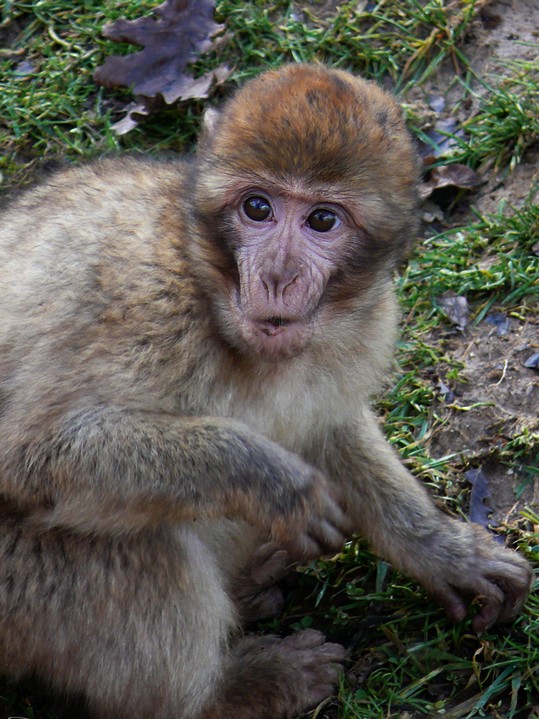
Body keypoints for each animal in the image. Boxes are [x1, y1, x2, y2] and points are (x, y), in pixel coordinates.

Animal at [0, 64, 532, 719]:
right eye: (257, 207)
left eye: (323, 220)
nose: (278, 275)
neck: (205, 282)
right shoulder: (135, 299)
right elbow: (32, 456)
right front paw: (273, 483)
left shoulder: (364, 324)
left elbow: (329, 425)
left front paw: (440, 550)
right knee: (134, 537)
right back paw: (229, 692)